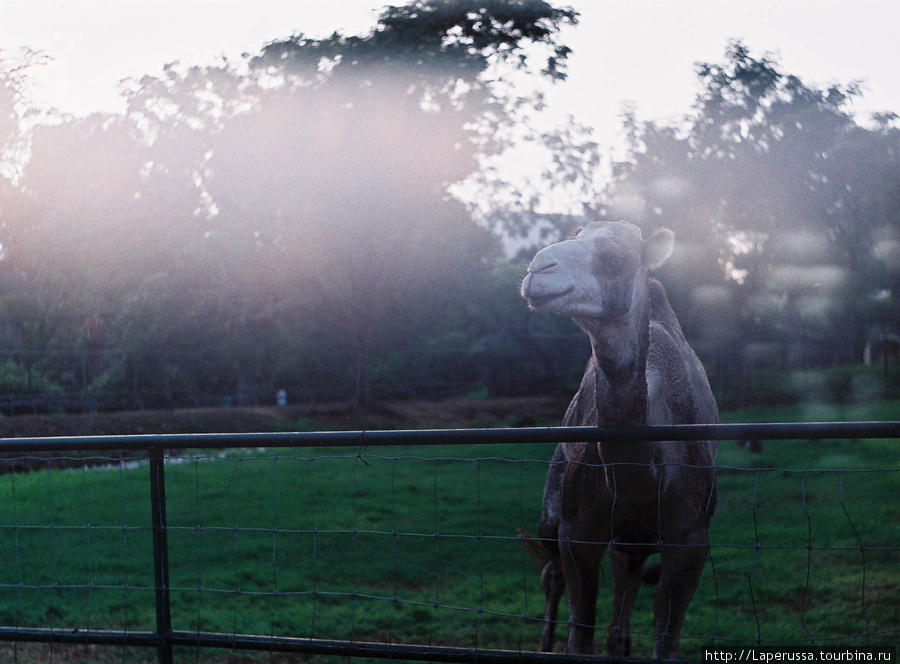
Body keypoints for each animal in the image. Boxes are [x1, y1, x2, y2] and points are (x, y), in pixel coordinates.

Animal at [520, 222, 716, 660]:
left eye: (614, 259)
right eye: (574, 235)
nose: (538, 268)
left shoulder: (691, 538)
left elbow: (666, 642)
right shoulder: (576, 531)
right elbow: (579, 635)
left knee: (627, 573)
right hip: (554, 503)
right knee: (553, 572)